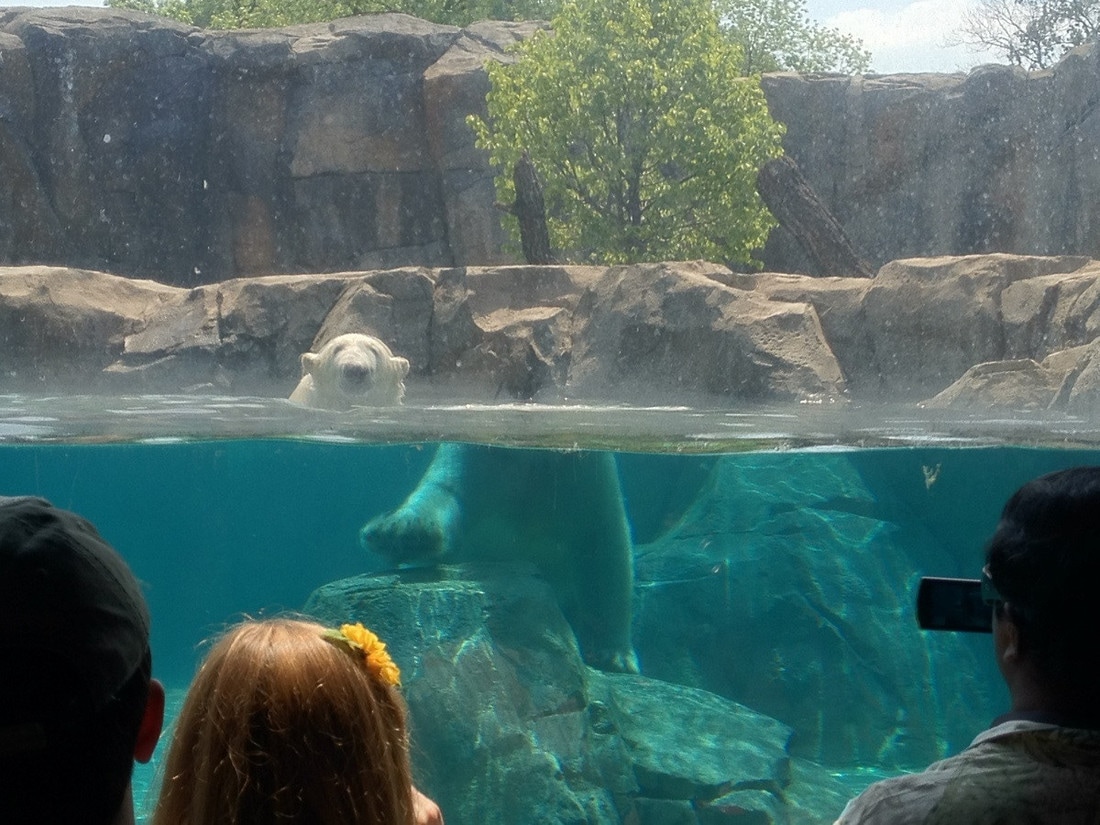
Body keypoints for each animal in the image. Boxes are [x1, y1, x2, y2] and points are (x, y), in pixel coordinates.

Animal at [360, 443, 640, 673]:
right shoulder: (478, 457)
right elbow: (444, 489)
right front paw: (398, 532)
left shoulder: (583, 471)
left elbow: (606, 545)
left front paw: (614, 656)